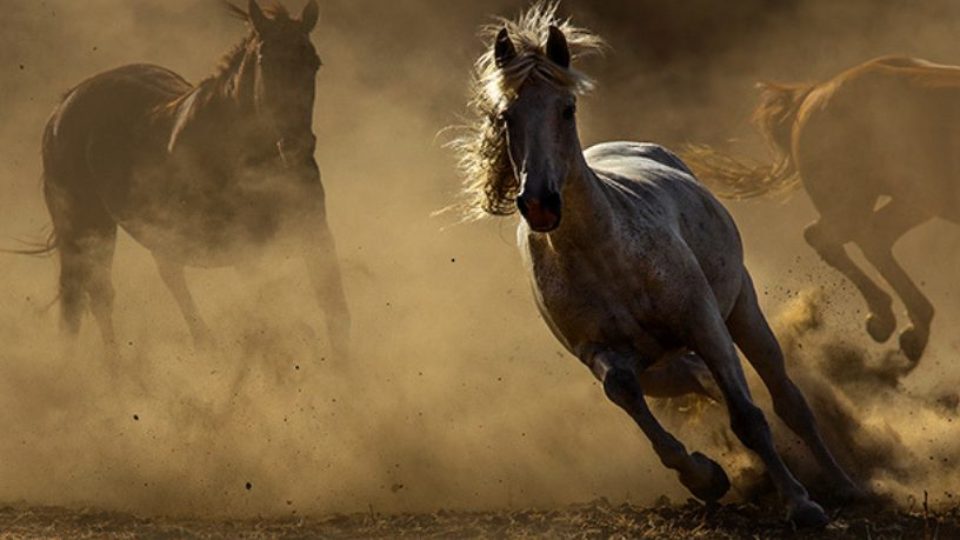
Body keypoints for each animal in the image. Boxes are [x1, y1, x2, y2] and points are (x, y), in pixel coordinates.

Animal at [34, 0, 350, 360]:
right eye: (265, 62)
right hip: (89, 225)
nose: (296, 146)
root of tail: (63, 106)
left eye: (314, 63)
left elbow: (333, 306)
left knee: (161, 279)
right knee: (93, 296)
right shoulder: (245, 248)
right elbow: (270, 318)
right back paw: (112, 370)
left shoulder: (314, 231)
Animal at [453, 3, 862, 528]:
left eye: (566, 109)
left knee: (785, 397)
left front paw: (802, 503)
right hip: (662, 369)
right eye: (507, 115)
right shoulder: (602, 354)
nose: (540, 203)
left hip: (742, 309)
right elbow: (628, 397)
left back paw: (844, 484)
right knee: (698, 382)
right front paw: (705, 477)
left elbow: (750, 418)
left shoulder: (705, 325)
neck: (606, 257)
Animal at [684, 56, 960, 367]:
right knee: (828, 236)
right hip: (855, 198)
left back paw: (907, 331)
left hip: (912, 201)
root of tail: (817, 92)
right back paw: (889, 323)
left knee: (872, 237)